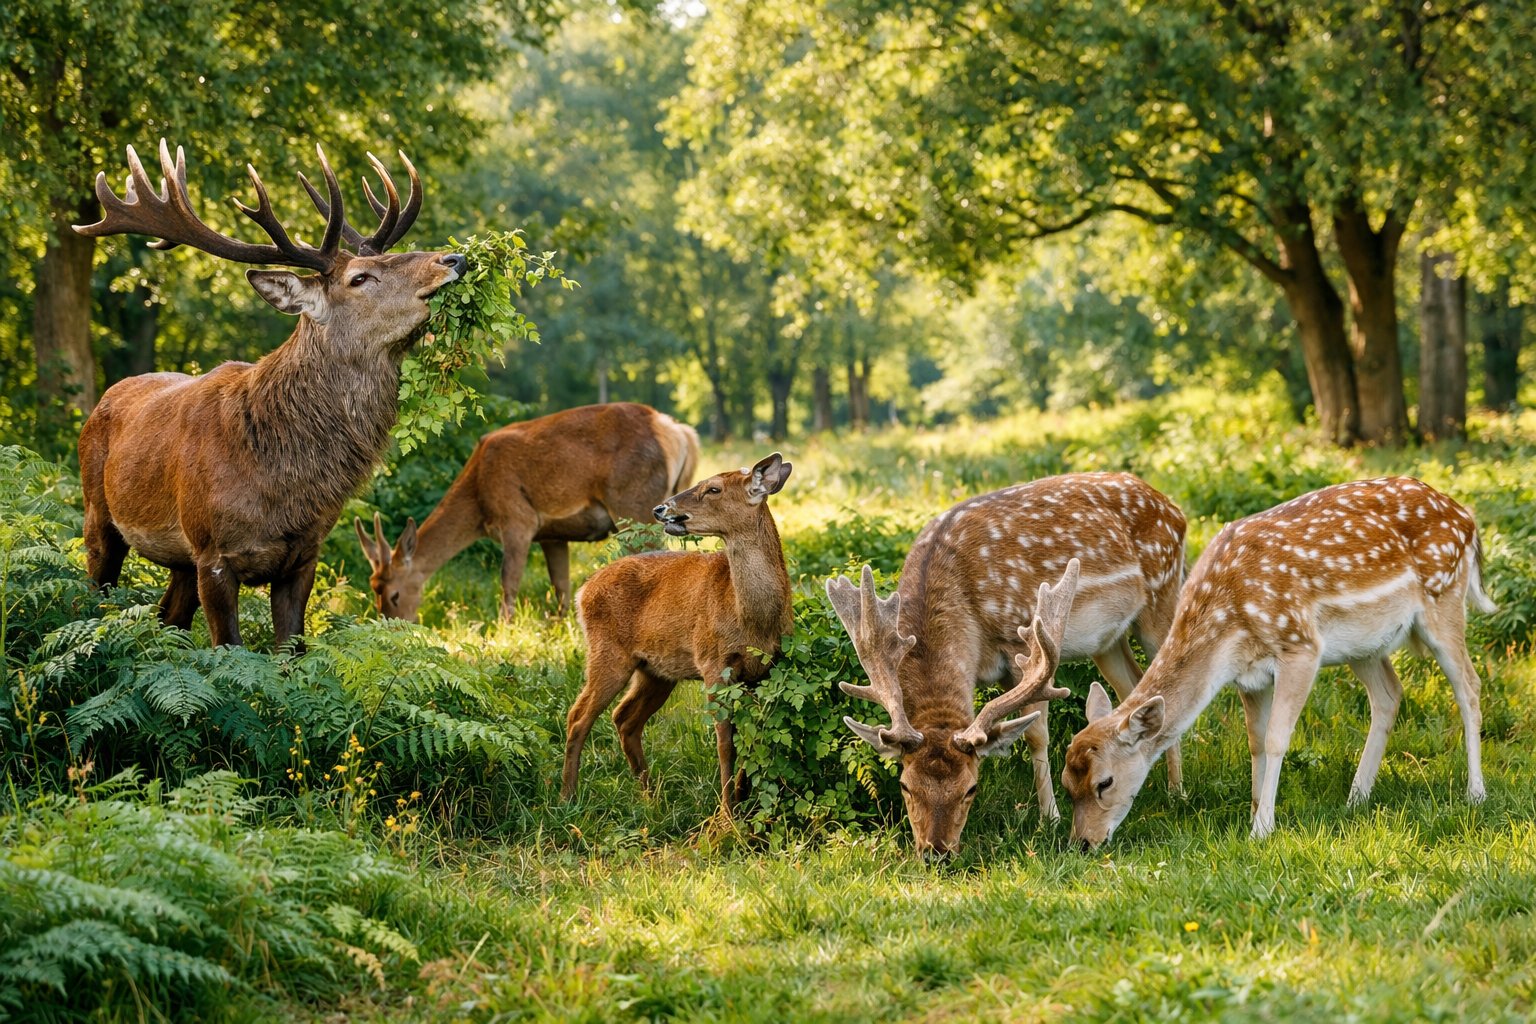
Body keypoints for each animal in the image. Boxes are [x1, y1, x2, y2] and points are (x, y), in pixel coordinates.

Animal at [74, 140, 465, 648]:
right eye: (359, 278)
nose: (454, 260)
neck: (280, 488)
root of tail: (104, 399)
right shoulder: (213, 553)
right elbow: (228, 647)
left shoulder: (304, 555)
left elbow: (290, 650)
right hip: (98, 513)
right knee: (93, 595)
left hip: (179, 559)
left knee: (168, 617)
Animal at [356, 402, 699, 620]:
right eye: (373, 589)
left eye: (395, 594)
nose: (393, 626)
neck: (478, 500)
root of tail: (680, 433)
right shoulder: (552, 535)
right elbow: (561, 588)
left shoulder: (517, 520)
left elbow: (508, 583)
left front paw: (501, 633)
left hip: (634, 504)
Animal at [560, 453, 793, 807]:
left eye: (713, 488)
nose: (660, 508)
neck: (753, 621)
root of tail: (583, 591)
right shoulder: (713, 662)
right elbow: (725, 742)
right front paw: (727, 812)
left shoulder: (764, 670)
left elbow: (754, 736)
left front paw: (744, 800)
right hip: (608, 652)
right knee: (578, 716)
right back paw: (567, 797)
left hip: (655, 670)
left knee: (624, 719)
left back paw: (650, 797)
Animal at [826, 472, 1188, 858]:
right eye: (905, 785)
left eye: (971, 788)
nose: (936, 851)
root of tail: (1174, 509)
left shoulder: (1022, 643)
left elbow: (1034, 734)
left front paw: (1050, 819)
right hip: (1107, 639)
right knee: (1134, 686)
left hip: (1163, 594)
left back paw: (1176, 791)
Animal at [1062, 477, 1498, 849]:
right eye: (1067, 783)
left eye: (1105, 782)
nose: (1083, 843)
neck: (1228, 621)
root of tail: (1467, 519)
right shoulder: (1248, 677)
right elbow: (1254, 742)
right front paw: (1255, 812)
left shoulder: (1301, 647)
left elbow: (1275, 739)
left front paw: (1262, 830)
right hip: (1364, 644)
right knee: (1389, 693)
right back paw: (1356, 798)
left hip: (1445, 599)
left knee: (1470, 686)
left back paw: (1475, 793)